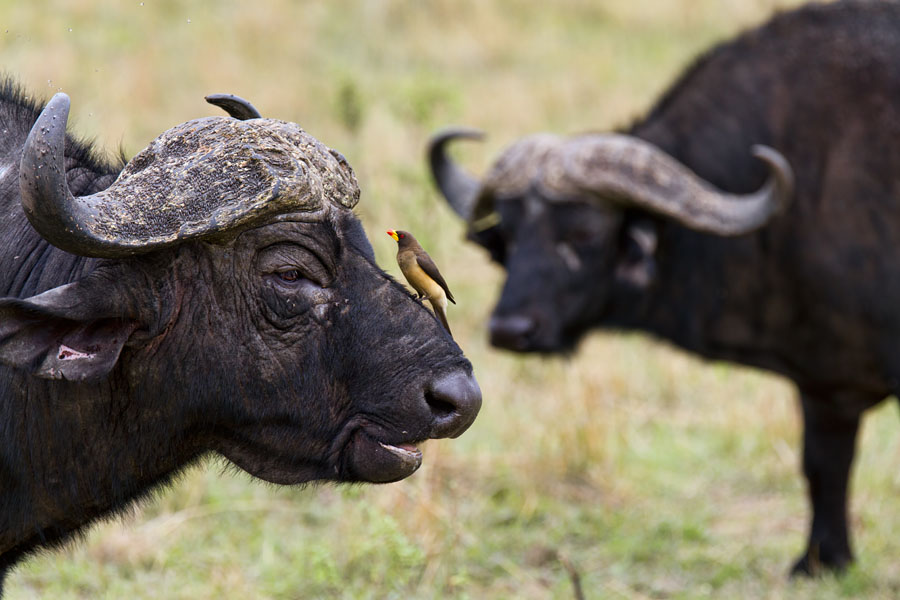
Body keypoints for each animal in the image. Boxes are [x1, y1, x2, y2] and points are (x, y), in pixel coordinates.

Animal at [429, 1, 897, 575]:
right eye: (510, 239)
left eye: (584, 234)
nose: (510, 330)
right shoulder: (825, 383)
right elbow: (823, 465)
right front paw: (822, 560)